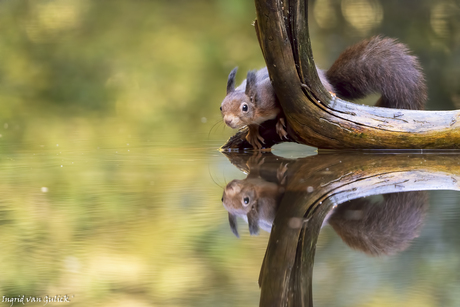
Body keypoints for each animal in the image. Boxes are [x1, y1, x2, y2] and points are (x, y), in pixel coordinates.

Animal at [219, 36, 428, 150]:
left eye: (245, 107)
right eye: (221, 107)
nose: (228, 121)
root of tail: (325, 79)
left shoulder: (272, 98)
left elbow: (280, 112)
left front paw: (279, 123)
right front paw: (252, 132)